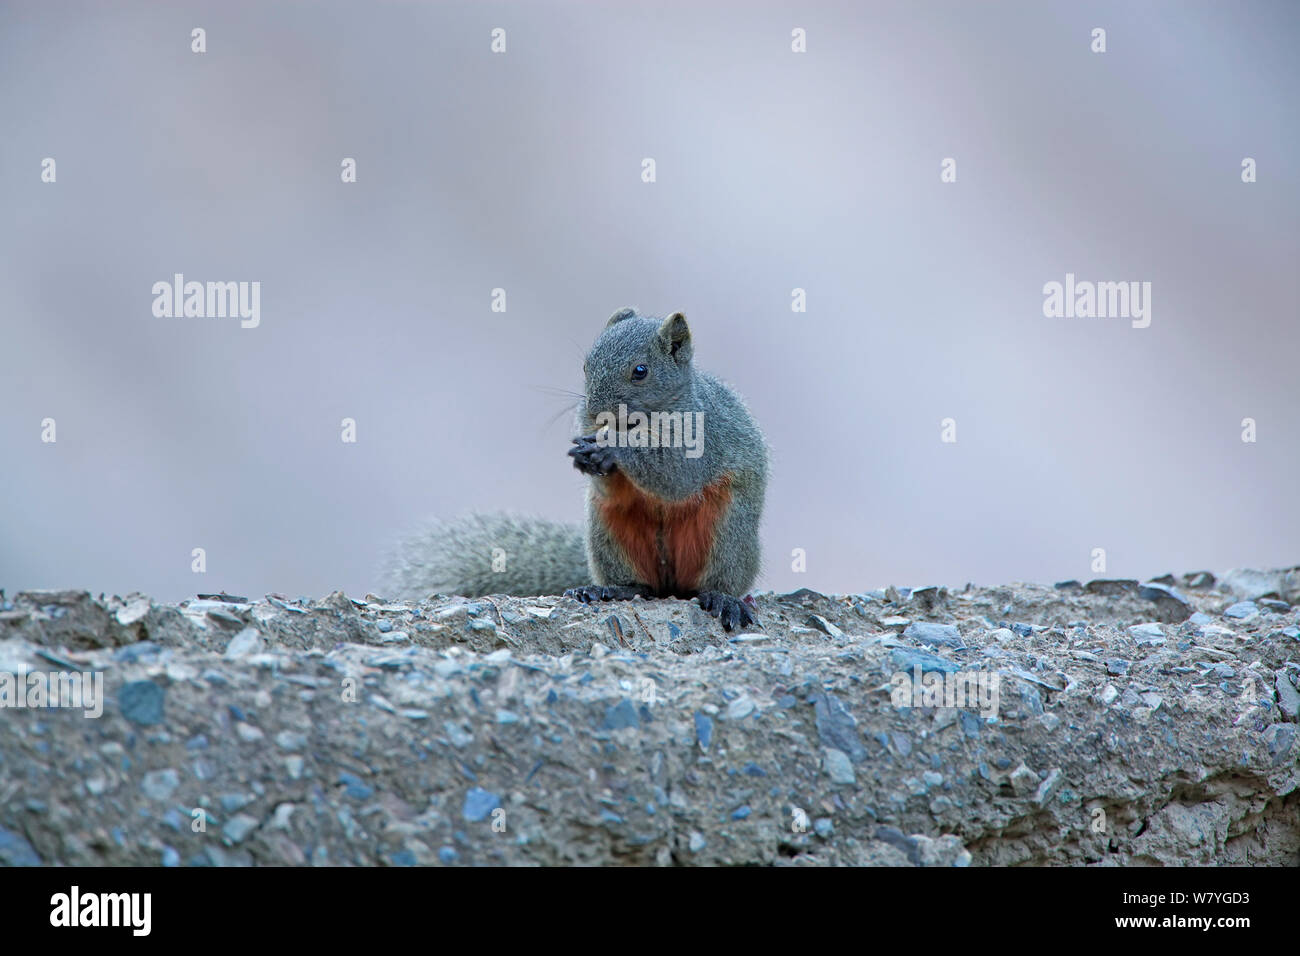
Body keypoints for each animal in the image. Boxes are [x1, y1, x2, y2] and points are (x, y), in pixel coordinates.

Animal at [384, 310, 769, 632]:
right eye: (586, 366)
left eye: (640, 371)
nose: (596, 412)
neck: (636, 424)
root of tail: (672, 587)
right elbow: (612, 487)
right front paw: (590, 458)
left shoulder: (702, 437)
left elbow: (676, 475)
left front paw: (612, 448)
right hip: (608, 533)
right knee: (642, 585)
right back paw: (611, 591)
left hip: (727, 533)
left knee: (720, 578)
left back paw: (723, 598)